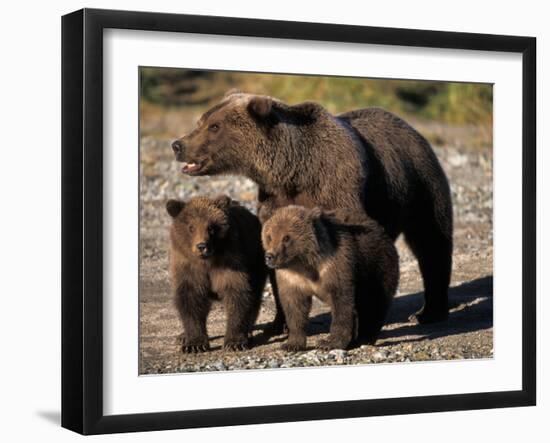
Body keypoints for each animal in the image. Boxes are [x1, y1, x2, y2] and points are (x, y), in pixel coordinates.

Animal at [171, 92, 452, 328]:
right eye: (201, 120)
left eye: (214, 126)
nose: (177, 144)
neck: (293, 172)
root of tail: (411, 127)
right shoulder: (273, 202)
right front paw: (281, 322)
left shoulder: (337, 190)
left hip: (420, 182)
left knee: (432, 242)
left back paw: (428, 312)